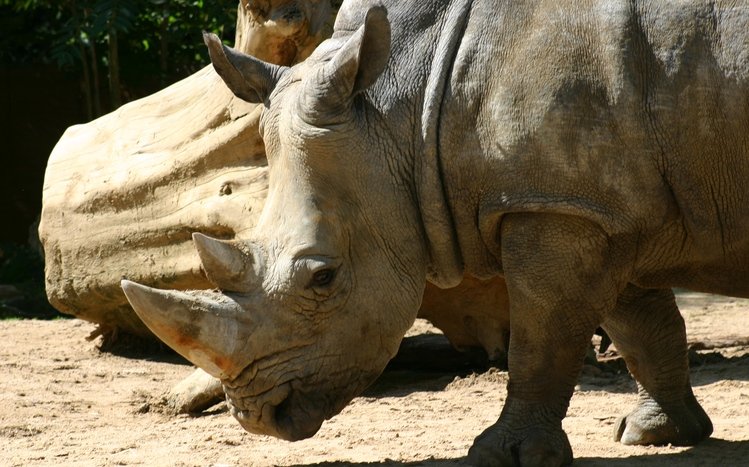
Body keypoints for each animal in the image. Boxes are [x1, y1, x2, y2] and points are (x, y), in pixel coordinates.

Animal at [121, 0, 749, 465]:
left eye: (322, 278)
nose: (259, 419)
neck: (404, 108)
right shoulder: (600, 204)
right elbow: (641, 323)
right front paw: (657, 434)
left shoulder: (555, 206)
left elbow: (541, 335)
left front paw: (504, 455)